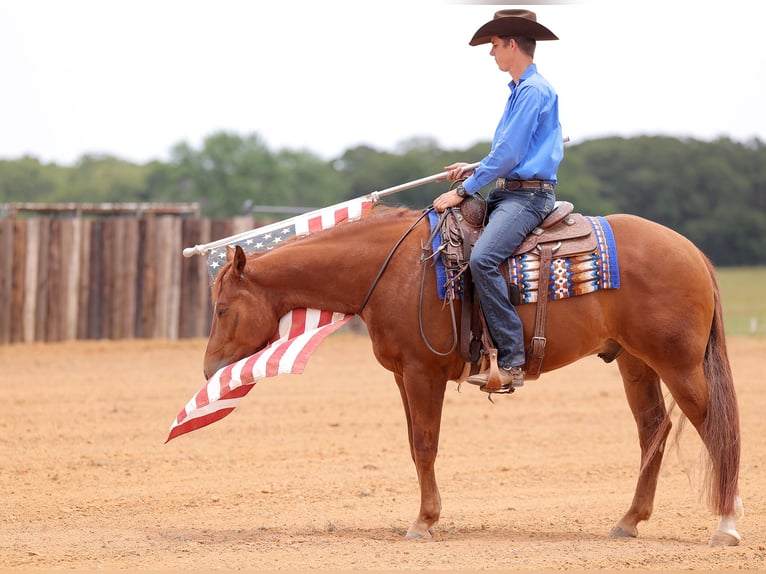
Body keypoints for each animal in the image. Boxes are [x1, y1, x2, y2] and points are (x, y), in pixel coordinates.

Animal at [202, 205, 744, 548]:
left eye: (223, 308)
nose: (209, 370)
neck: (396, 269)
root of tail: (692, 252)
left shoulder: (423, 374)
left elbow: (425, 445)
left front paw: (424, 522)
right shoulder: (403, 377)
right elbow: (414, 445)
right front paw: (427, 515)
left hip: (678, 365)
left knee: (714, 428)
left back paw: (727, 524)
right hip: (636, 362)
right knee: (654, 429)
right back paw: (629, 521)